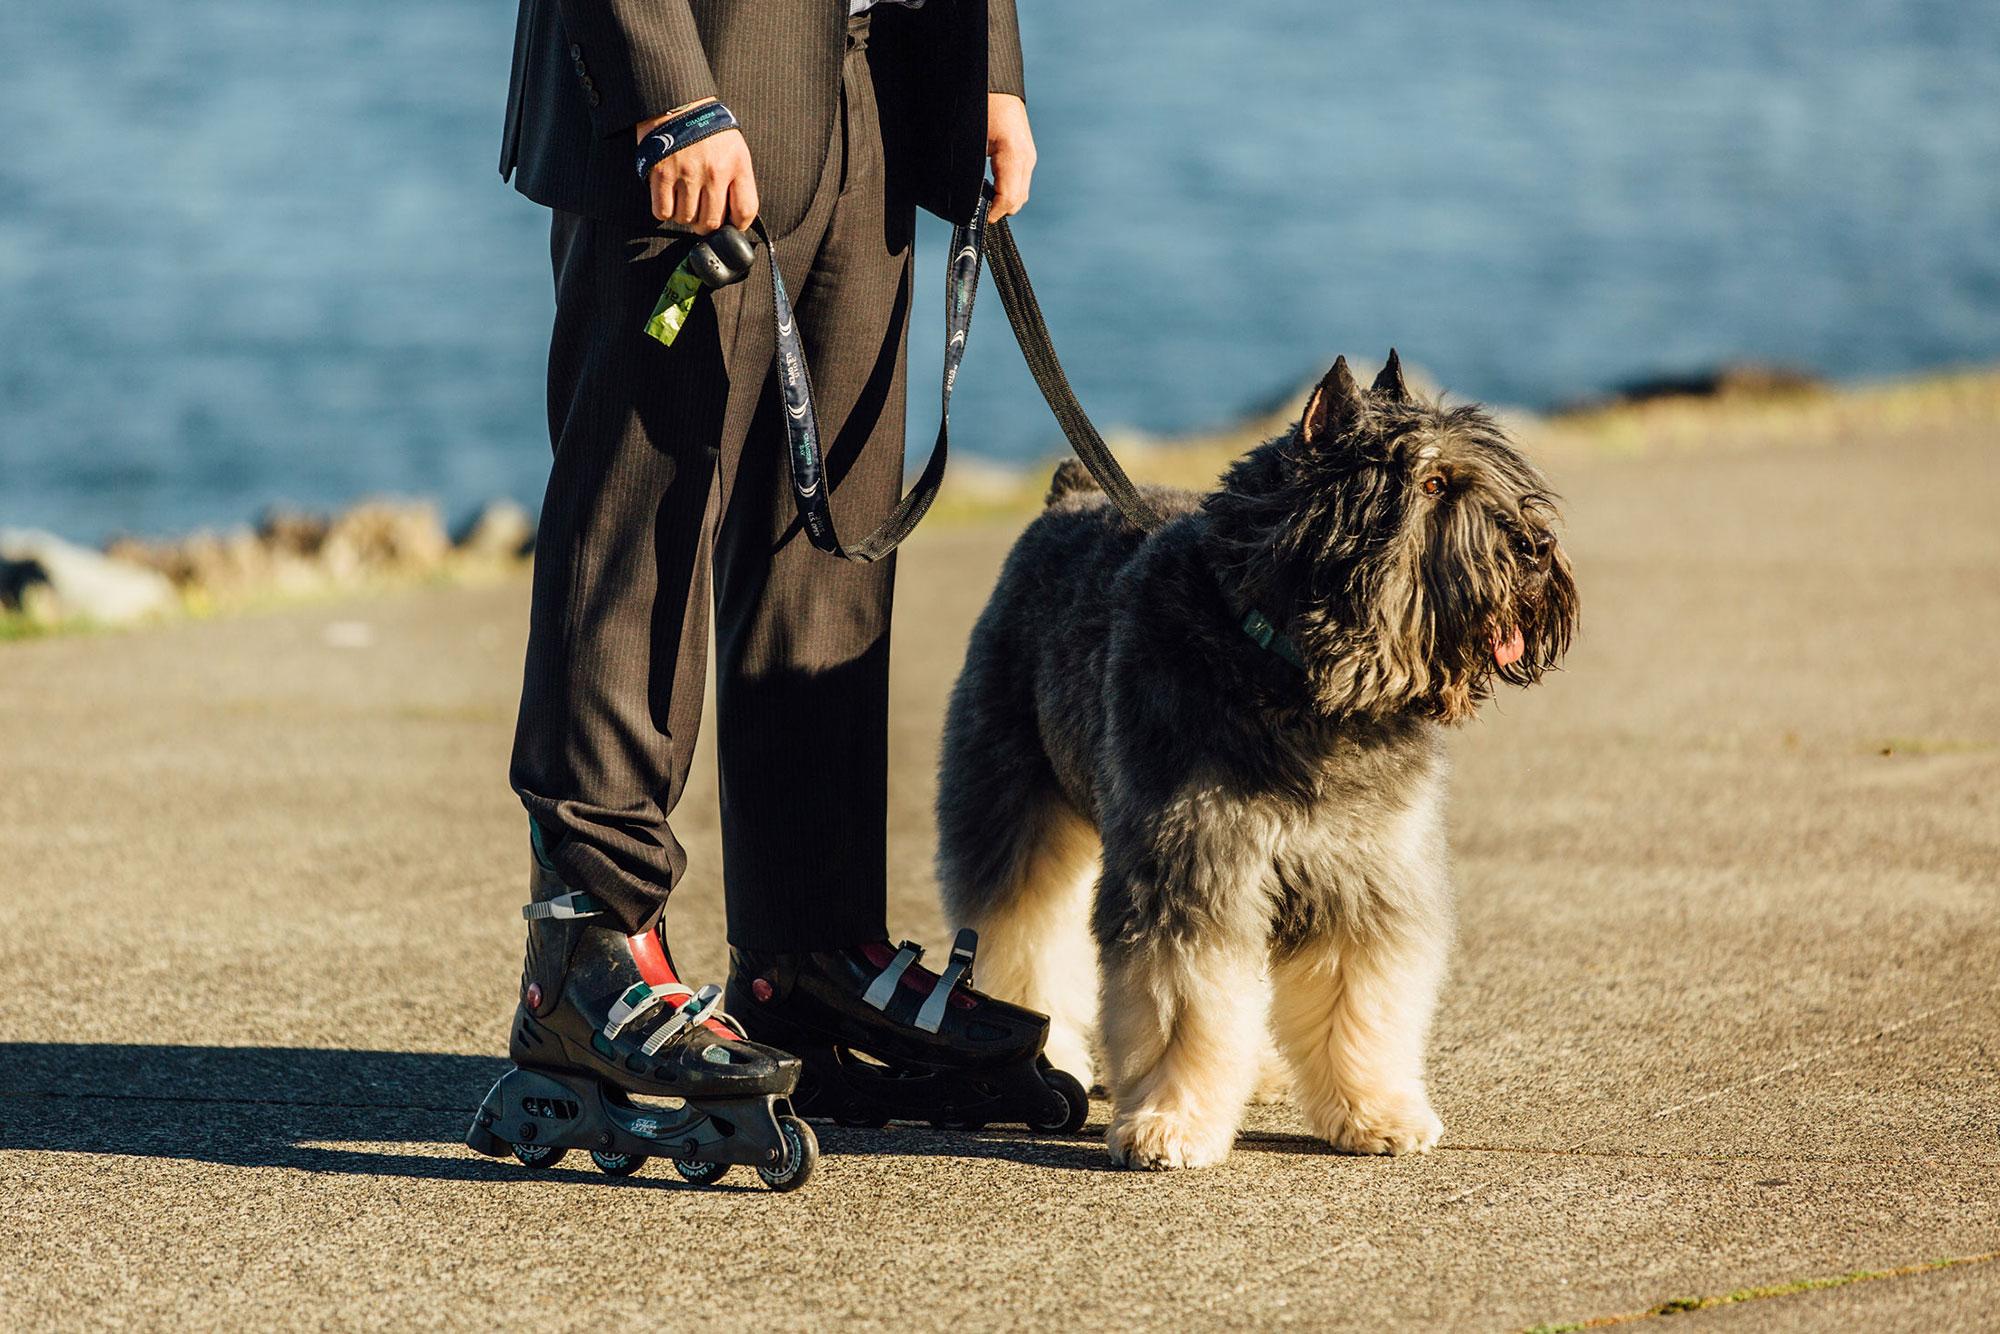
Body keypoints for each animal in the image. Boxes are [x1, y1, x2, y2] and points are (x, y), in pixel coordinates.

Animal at [936, 354, 1576, 1168]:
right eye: (1432, 484)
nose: (1537, 546)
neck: (1299, 678)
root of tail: (1068, 497)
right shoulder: (1192, 872)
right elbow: (1186, 1004)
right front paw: (1172, 1121)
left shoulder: (1362, 882)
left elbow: (1358, 1005)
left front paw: (1375, 1111)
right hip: (1015, 811)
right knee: (1027, 938)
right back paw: (1049, 1060)